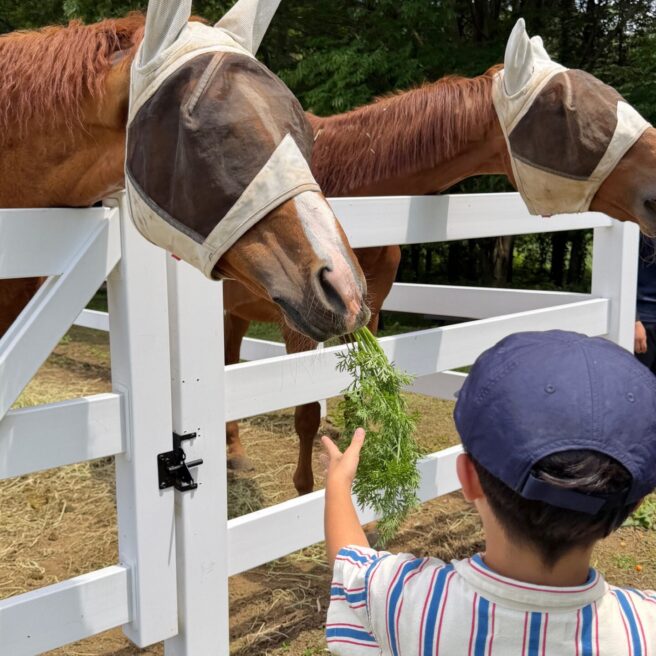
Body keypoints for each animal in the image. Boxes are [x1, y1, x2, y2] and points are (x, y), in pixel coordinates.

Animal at [223, 23, 656, 494]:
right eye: (562, 109)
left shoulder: (367, 317)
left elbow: (359, 404)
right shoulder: (300, 326)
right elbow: (306, 416)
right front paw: (306, 492)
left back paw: (235, 453)